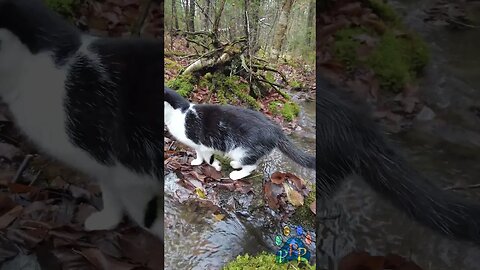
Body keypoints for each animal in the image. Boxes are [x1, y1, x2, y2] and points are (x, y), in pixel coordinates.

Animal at [164, 86, 316, 180]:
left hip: (243, 149)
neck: (179, 113)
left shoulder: (205, 144)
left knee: (251, 166)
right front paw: (197, 161)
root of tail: (276, 129)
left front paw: (216, 165)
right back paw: (237, 164)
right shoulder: (197, 145)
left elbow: (208, 158)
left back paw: (237, 174)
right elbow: (199, 154)